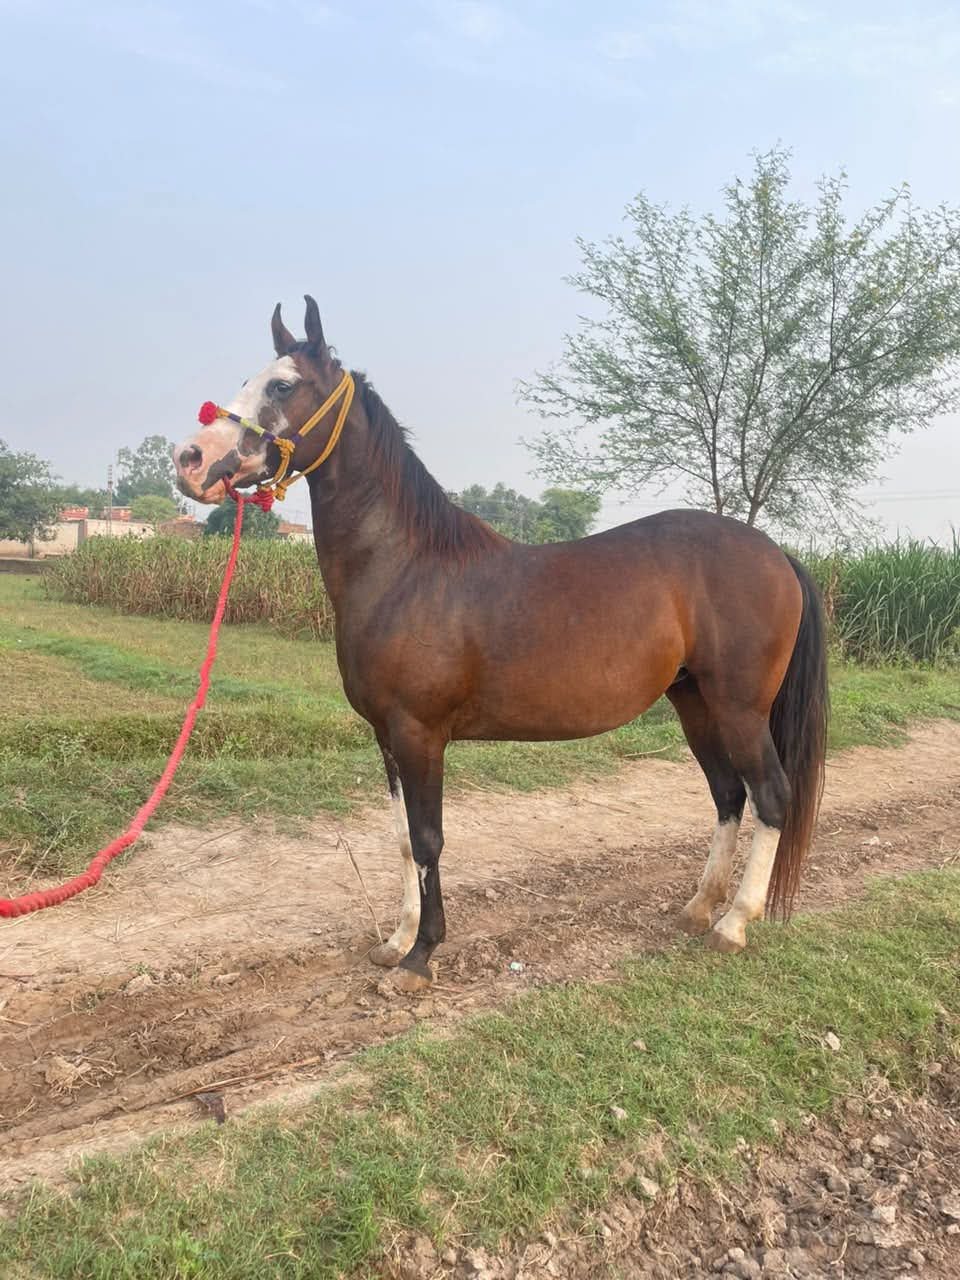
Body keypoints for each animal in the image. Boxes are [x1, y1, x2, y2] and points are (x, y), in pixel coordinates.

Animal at [174, 297, 828, 992]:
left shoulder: (420, 734)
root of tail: (776, 554)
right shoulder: (387, 737)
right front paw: (395, 941)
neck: (409, 568)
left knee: (772, 798)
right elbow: (402, 839)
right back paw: (700, 907)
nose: (190, 460)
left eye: (283, 386)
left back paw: (733, 924)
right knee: (730, 796)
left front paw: (420, 957)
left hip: (739, 709)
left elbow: (429, 840)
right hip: (695, 704)